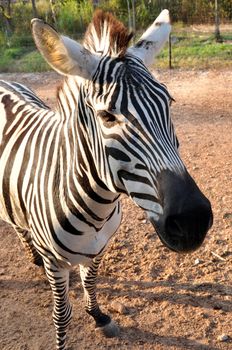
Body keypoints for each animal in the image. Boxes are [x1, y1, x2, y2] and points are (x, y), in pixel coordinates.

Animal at [0, 8, 212, 350]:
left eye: (169, 103)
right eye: (107, 117)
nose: (192, 221)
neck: (95, 210)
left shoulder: (99, 249)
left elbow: (91, 283)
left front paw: (98, 315)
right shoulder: (57, 265)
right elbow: (62, 315)